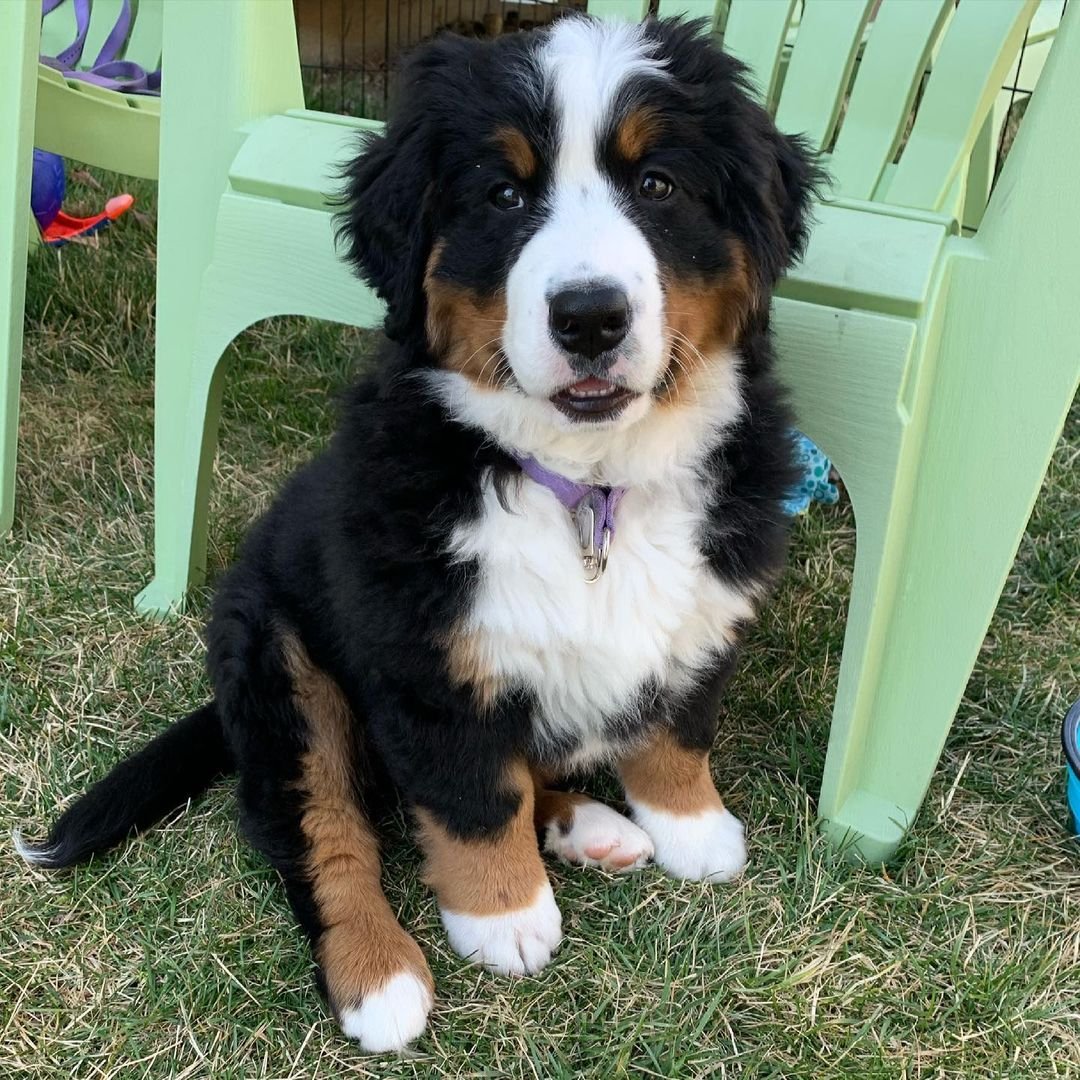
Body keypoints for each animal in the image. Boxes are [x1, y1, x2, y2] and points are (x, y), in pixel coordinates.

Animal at [16, 12, 812, 1049]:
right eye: (504, 194)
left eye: (658, 186)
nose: (590, 317)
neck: (584, 483)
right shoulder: (424, 658)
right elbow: (472, 795)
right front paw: (505, 915)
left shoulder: (703, 609)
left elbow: (676, 722)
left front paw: (690, 825)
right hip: (282, 664)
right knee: (320, 834)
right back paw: (380, 974)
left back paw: (593, 827)